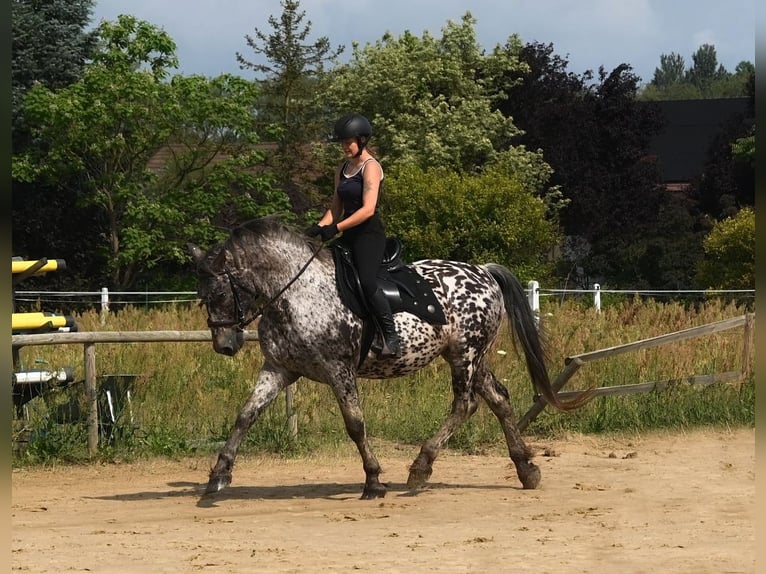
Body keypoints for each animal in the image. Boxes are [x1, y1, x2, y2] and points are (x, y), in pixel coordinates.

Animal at [189, 216, 588, 499]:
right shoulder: (279, 369)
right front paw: (219, 475)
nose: (225, 345)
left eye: (221, 291)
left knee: (466, 404)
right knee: (498, 398)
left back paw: (421, 469)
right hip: (472, 357)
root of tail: (483, 272)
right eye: (202, 295)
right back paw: (526, 470)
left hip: (465, 354)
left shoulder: (339, 370)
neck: (297, 293)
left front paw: (374, 480)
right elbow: (245, 416)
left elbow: (355, 424)